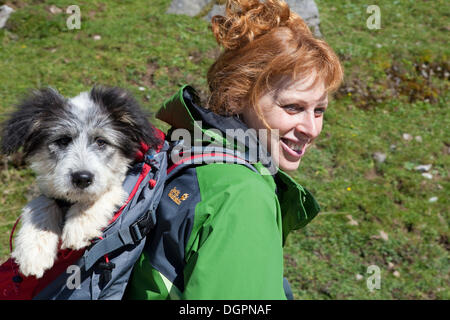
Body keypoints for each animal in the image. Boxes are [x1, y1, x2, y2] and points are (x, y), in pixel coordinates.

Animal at [0, 86, 162, 278]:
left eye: (101, 141)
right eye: (63, 140)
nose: (82, 178)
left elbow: (108, 188)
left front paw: (79, 225)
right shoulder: (47, 188)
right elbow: (41, 202)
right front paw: (33, 249)